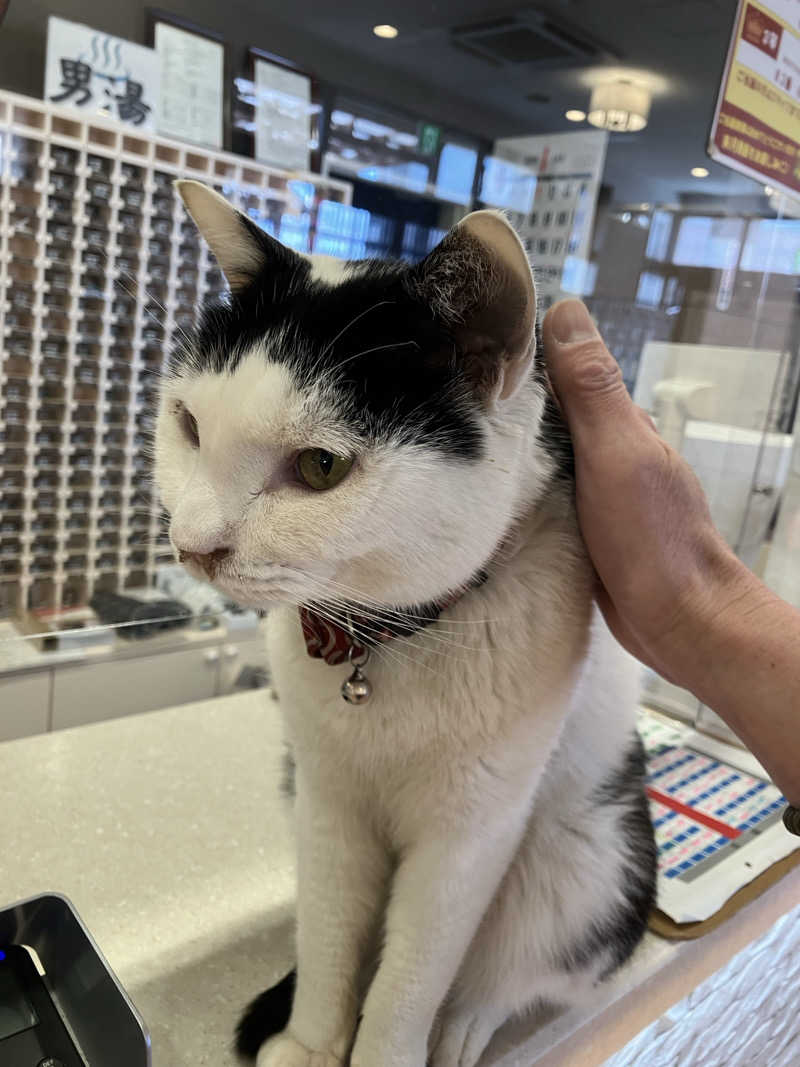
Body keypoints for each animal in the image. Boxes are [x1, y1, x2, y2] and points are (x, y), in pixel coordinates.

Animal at [154, 183, 657, 1067]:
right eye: (188, 425)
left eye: (321, 467)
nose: (192, 544)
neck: (380, 639)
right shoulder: (325, 800)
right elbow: (330, 937)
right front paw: (311, 1041)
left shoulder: (471, 834)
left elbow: (410, 978)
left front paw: (387, 1044)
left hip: (586, 848)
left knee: (518, 969)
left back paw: (462, 1027)